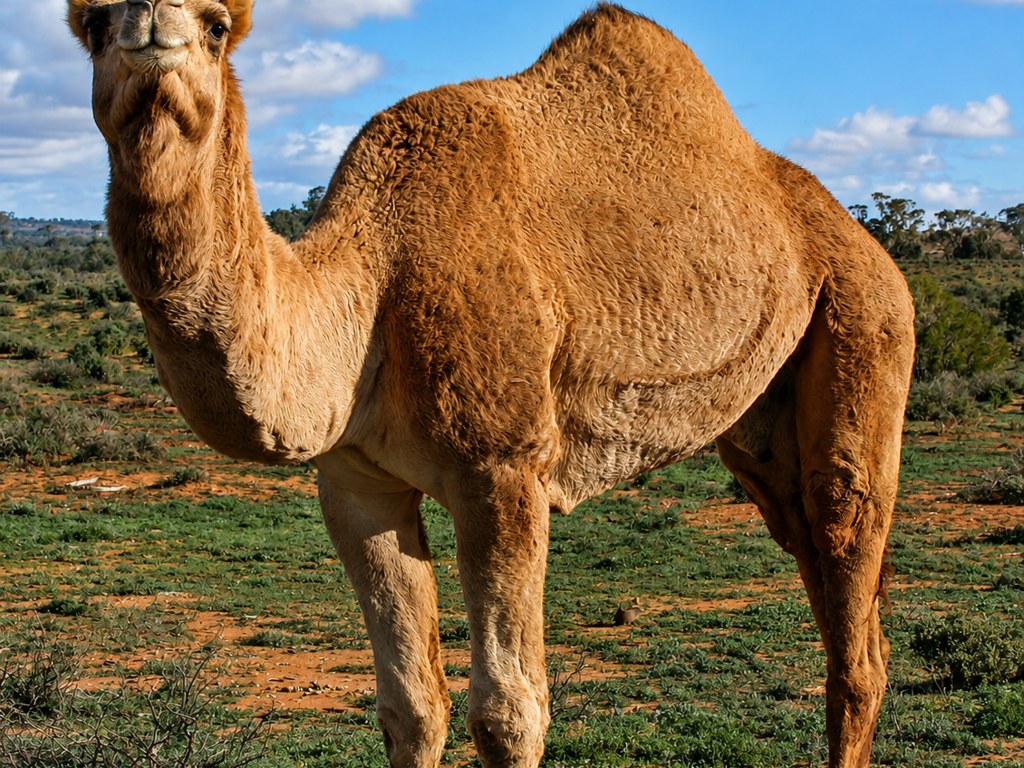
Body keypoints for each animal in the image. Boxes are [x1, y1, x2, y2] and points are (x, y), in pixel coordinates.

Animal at [66, 1, 915, 766]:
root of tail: (862, 238)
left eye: (216, 26)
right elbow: (410, 707)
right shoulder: (356, 482)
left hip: (864, 319)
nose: (150, 27)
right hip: (763, 423)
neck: (372, 285)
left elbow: (510, 714)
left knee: (848, 575)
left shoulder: (502, 468)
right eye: (93, 23)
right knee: (822, 564)